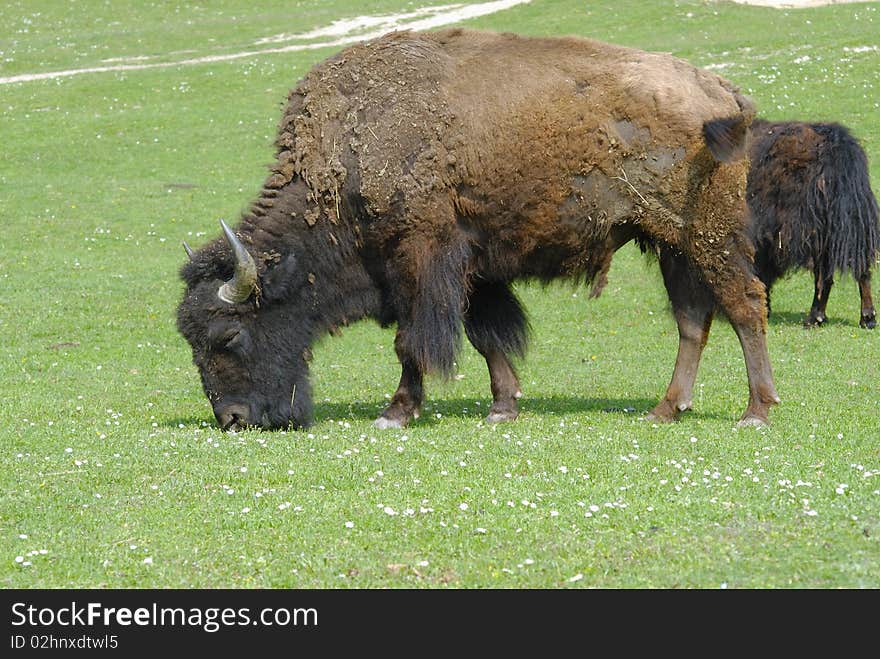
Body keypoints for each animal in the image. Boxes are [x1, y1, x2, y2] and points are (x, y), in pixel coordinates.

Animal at [175, 28, 780, 434]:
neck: (347, 158)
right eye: (190, 340)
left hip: (709, 235)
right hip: (672, 243)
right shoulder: (475, 267)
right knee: (693, 320)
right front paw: (503, 407)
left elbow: (412, 341)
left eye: (228, 335)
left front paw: (395, 413)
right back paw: (665, 409)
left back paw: (755, 411)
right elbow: (487, 335)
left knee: (744, 304)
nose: (233, 418)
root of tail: (720, 90)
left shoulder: (421, 259)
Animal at [744, 119, 876, 330]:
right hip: (853, 229)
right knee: (861, 270)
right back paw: (867, 319)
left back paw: (814, 318)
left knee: (823, 277)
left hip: (817, 235)